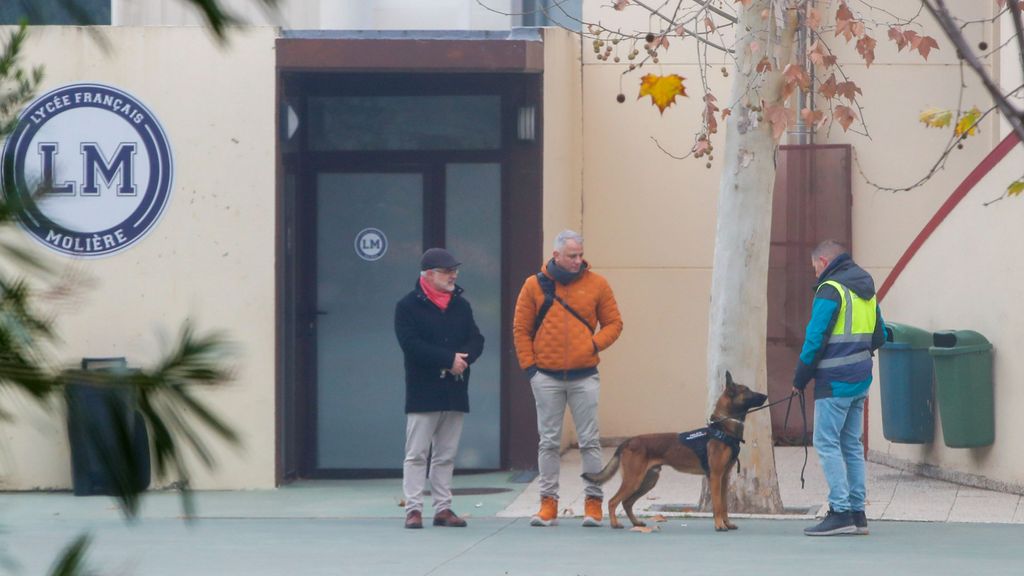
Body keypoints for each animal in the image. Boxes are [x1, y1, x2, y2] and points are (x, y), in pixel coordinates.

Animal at [581, 373, 765, 528]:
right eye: (747, 391)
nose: (766, 396)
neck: (723, 429)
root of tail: (628, 441)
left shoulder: (724, 478)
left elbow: (725, 505)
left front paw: (727, 523)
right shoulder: (715, 477)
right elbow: (718, 505)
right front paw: (720, 525)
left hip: (647, 481)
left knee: (627, 502)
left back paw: (636, 523)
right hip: (634, 480)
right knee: (613, 501)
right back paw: (615, 524)